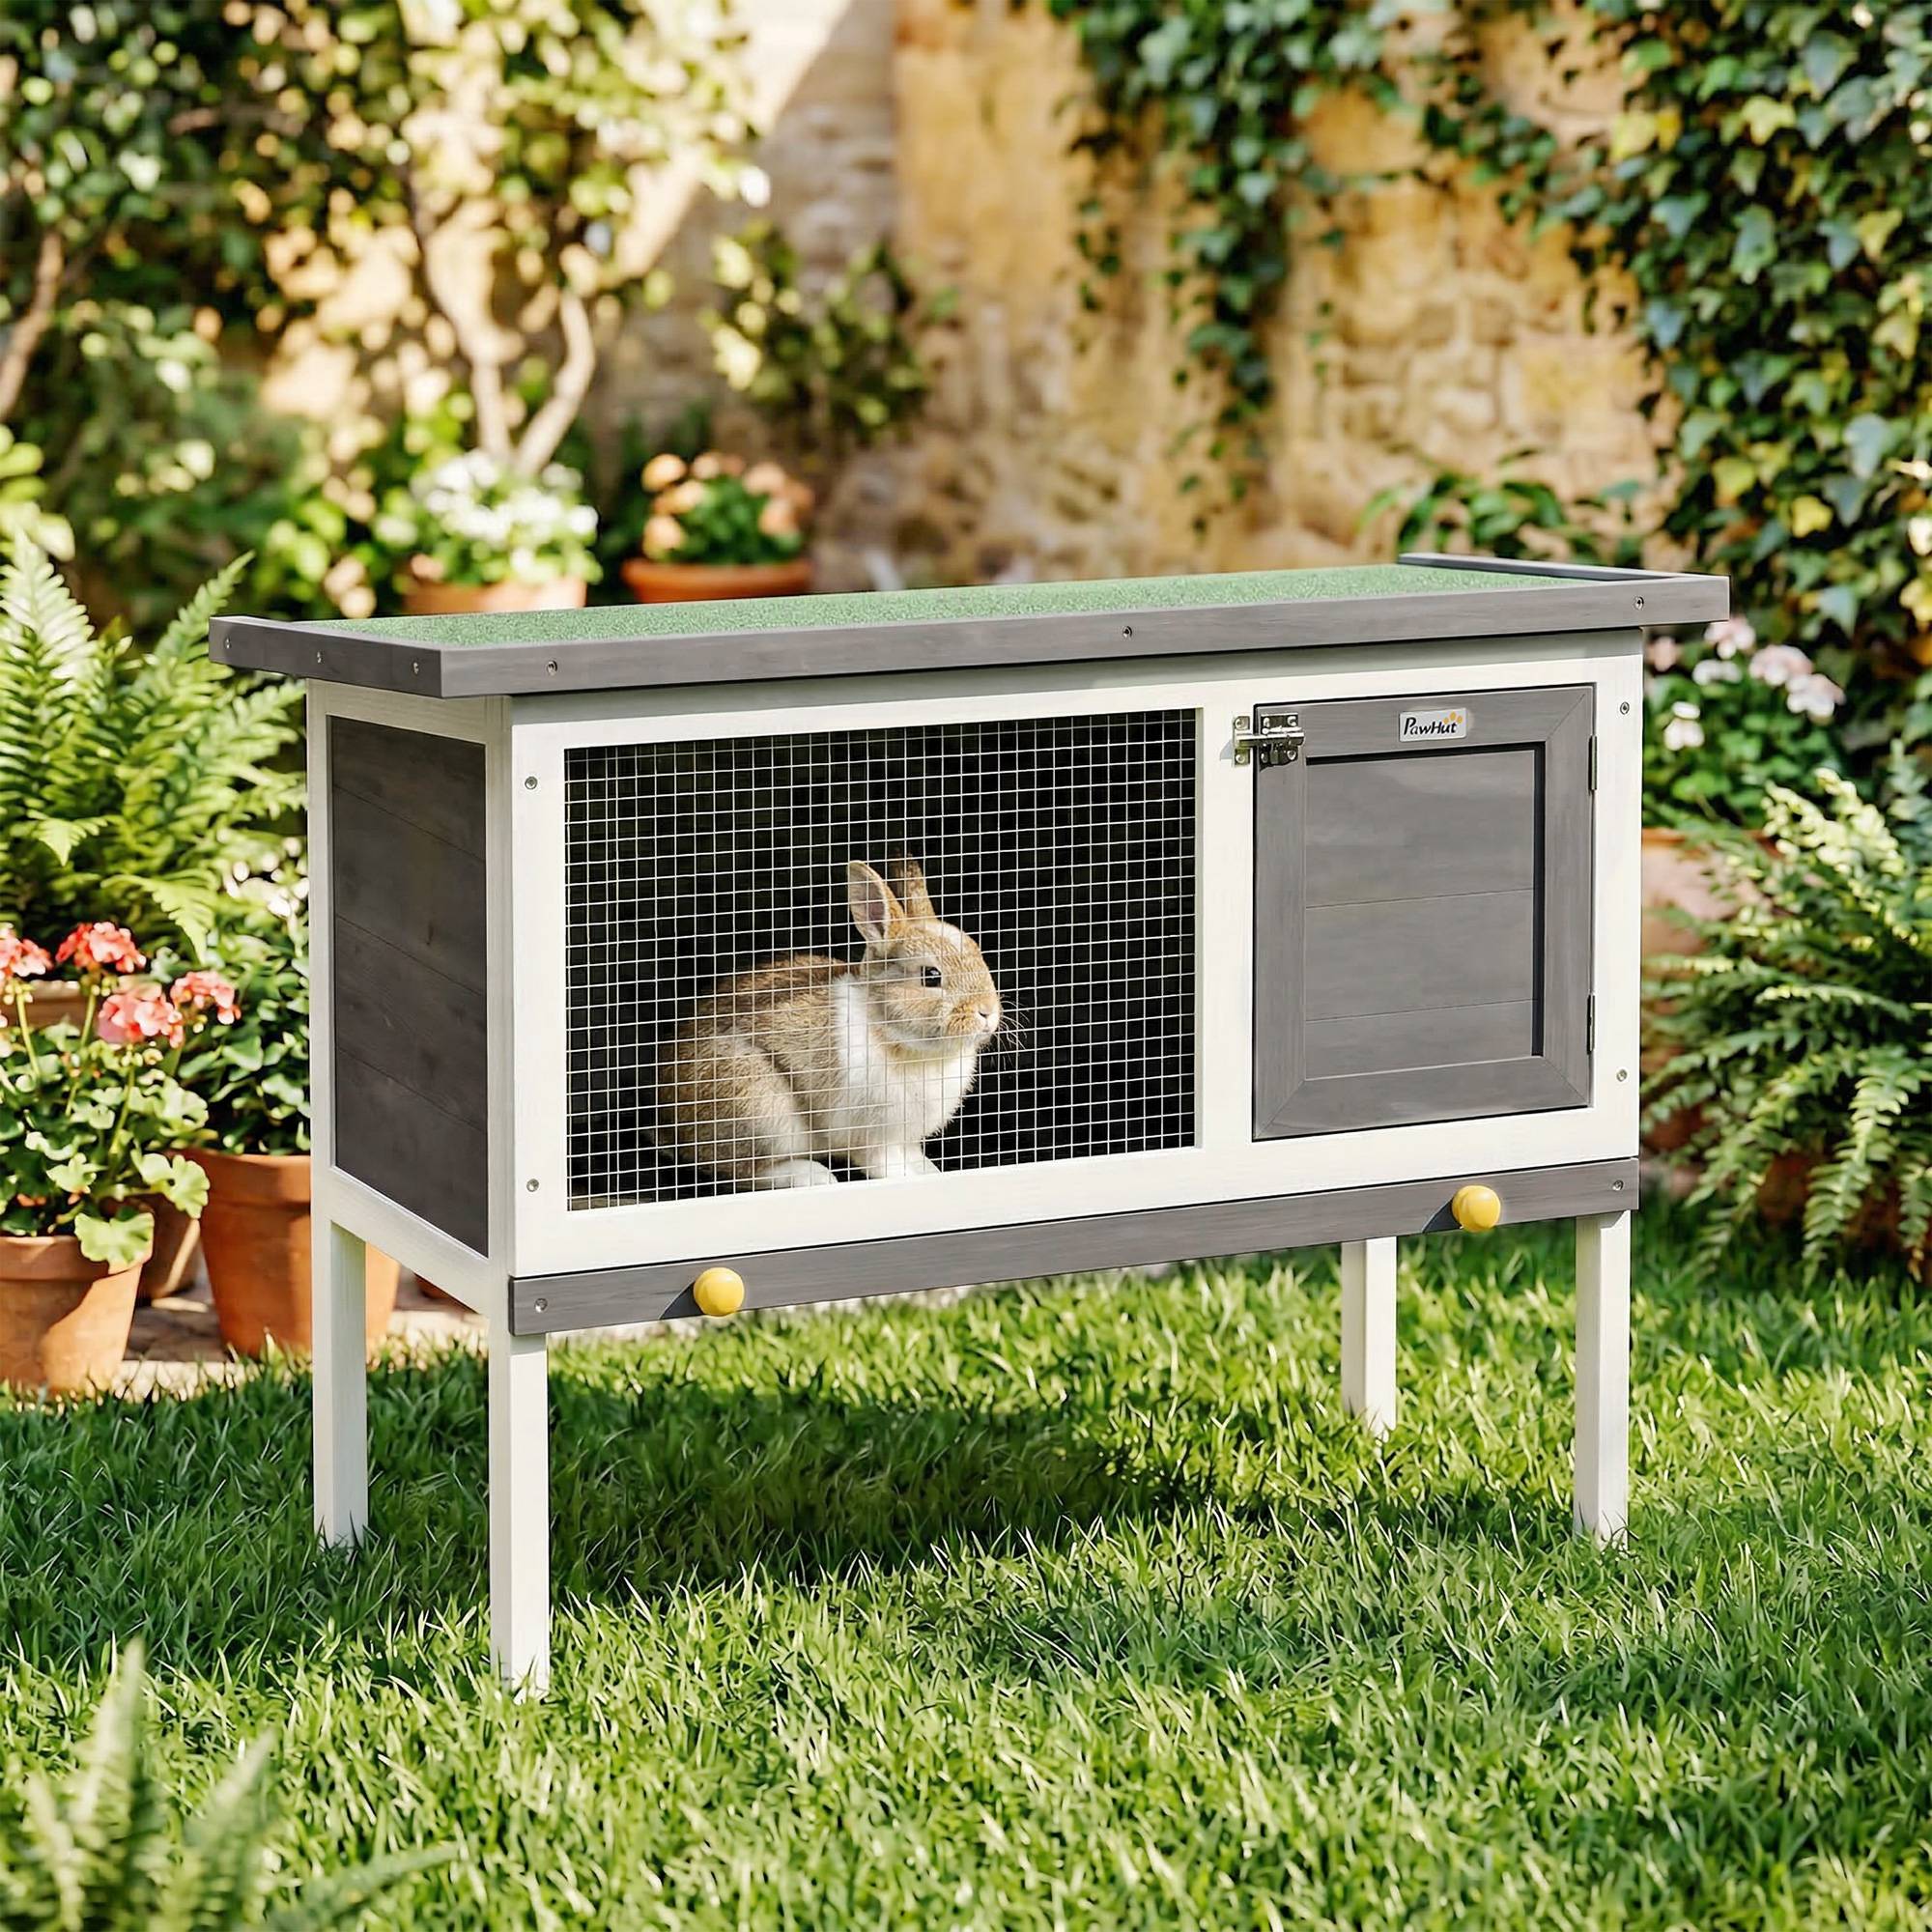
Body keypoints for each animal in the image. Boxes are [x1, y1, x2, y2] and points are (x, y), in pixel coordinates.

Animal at [655, 857, 1003, 1190]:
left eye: (978, 952)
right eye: (931, 976)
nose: (987, 1012)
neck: (891, 1033)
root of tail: (668, 1126)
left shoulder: (905, 1139)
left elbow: (914, 1157)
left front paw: (931, 1173)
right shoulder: (875, 1137)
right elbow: (886, 1166)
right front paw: (910, 1181)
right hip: (764, 1111)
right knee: (740, 1171)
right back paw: (812, 1175)